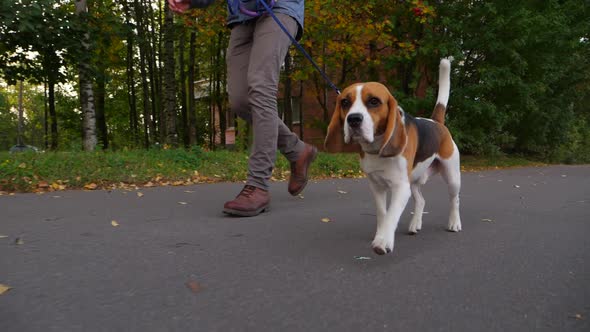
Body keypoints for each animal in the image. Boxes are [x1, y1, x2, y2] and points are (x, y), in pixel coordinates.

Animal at [324, 58, 462, 254]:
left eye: (374, 101)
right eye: (344, 102)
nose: (353, 119)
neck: (377, 148)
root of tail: (437, 122)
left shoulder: (400, 187)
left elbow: (391, 214)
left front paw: (383, 241)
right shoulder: (376, 186)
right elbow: (383, 213)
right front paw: (380, 233)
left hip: (452, 176)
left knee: (454, 200)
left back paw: (454, 223)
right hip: (413, 180)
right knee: (421, 201)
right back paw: (415, 224)